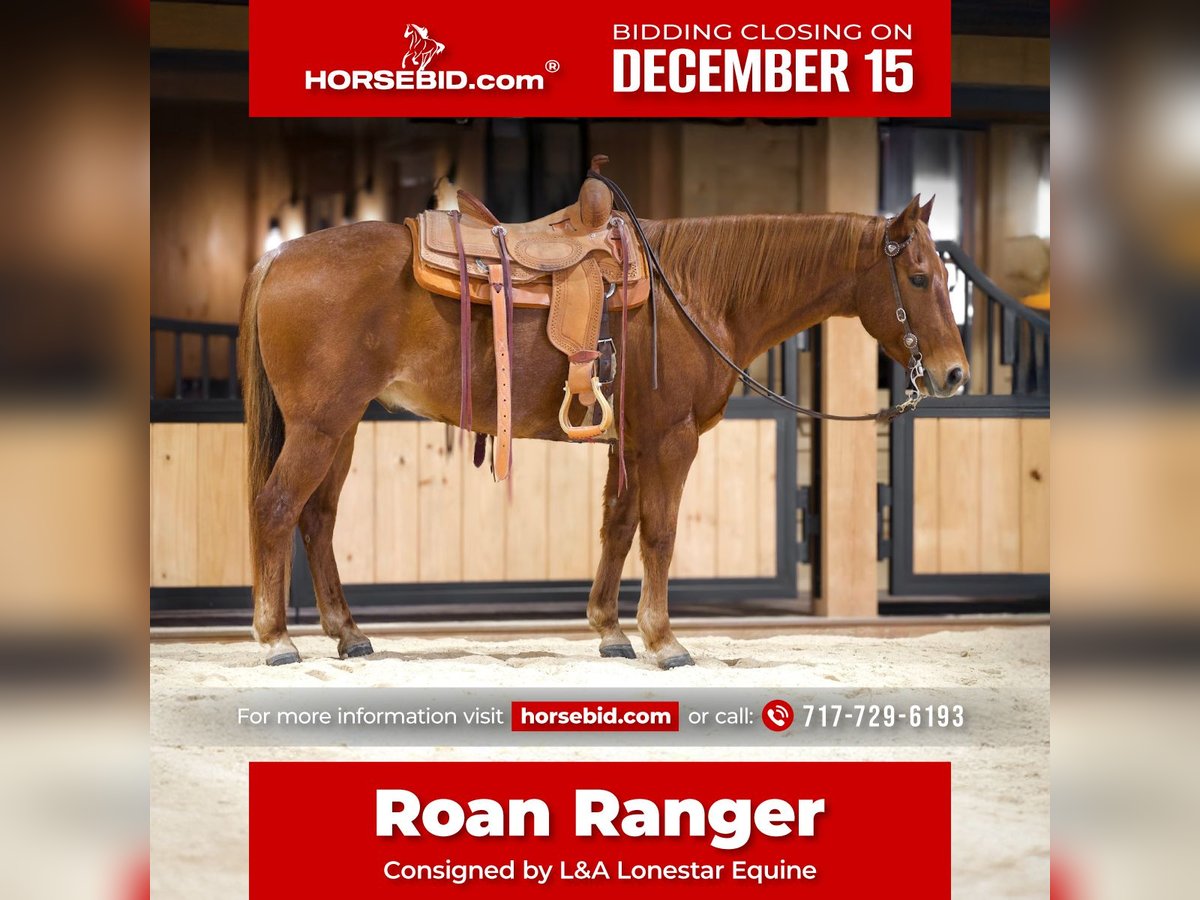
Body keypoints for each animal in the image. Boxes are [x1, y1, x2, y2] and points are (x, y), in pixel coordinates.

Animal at [237, 194, 968, 668]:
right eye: (919, 277)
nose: (956, 374)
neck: (695, 294)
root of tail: (277, 257)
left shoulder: (635, 443)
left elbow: (618, 527)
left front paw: (610, 630)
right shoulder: (673, 440)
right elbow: (660, 533)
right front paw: (663, 640)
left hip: (342, 427)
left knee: (317, 519)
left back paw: (347, 632)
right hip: (321, 426)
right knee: (276, 509)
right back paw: (276, 639)